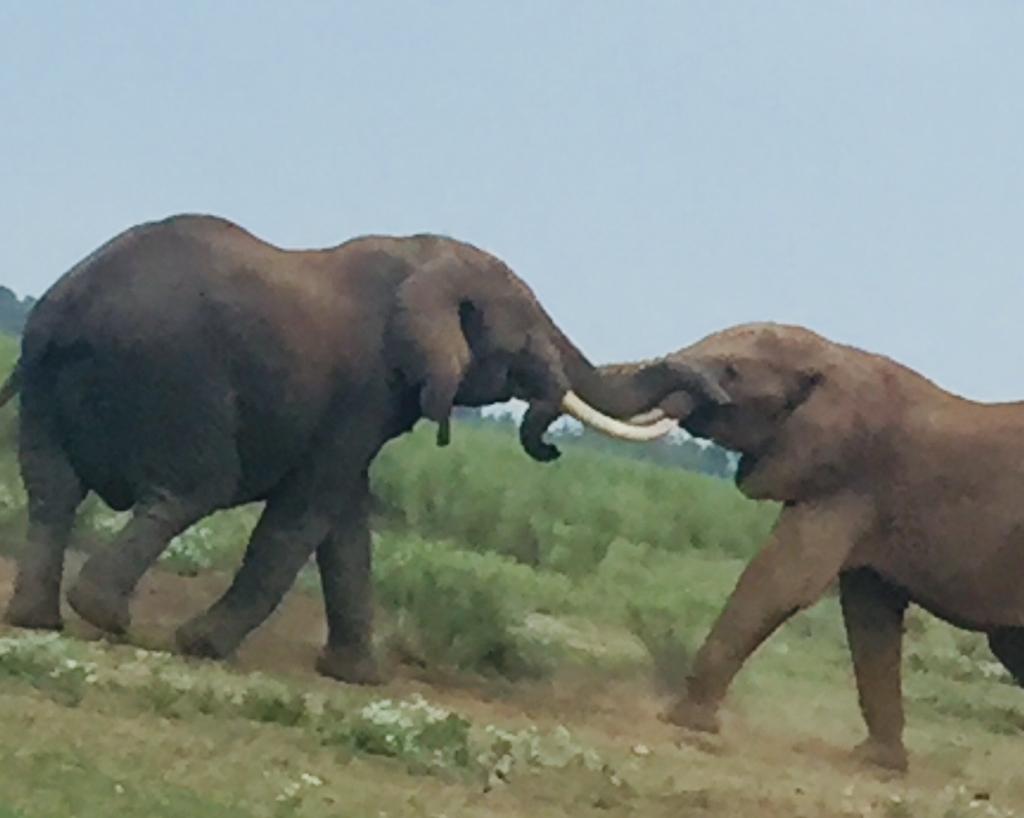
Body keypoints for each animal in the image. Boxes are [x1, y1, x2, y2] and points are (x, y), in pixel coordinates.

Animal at [0, 212, 730, 683]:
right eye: (526, 339)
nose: (716, 393)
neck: (423, 258)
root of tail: (67, 310)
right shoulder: (362, 392)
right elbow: (305, 515)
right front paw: (201, 646)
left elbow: (348, 525)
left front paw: (358, 678)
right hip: (177, 377)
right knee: (189, 490)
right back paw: (106, 616)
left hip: (46, 387)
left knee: (52, 489)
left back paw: (38, 620)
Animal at [530, 321, 1024, 772]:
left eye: (731, 372)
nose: (551, 447)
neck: (836, 356)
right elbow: (869, 615)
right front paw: (877, 762)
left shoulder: (845, 481)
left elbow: (783, 579)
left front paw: (683, 720)